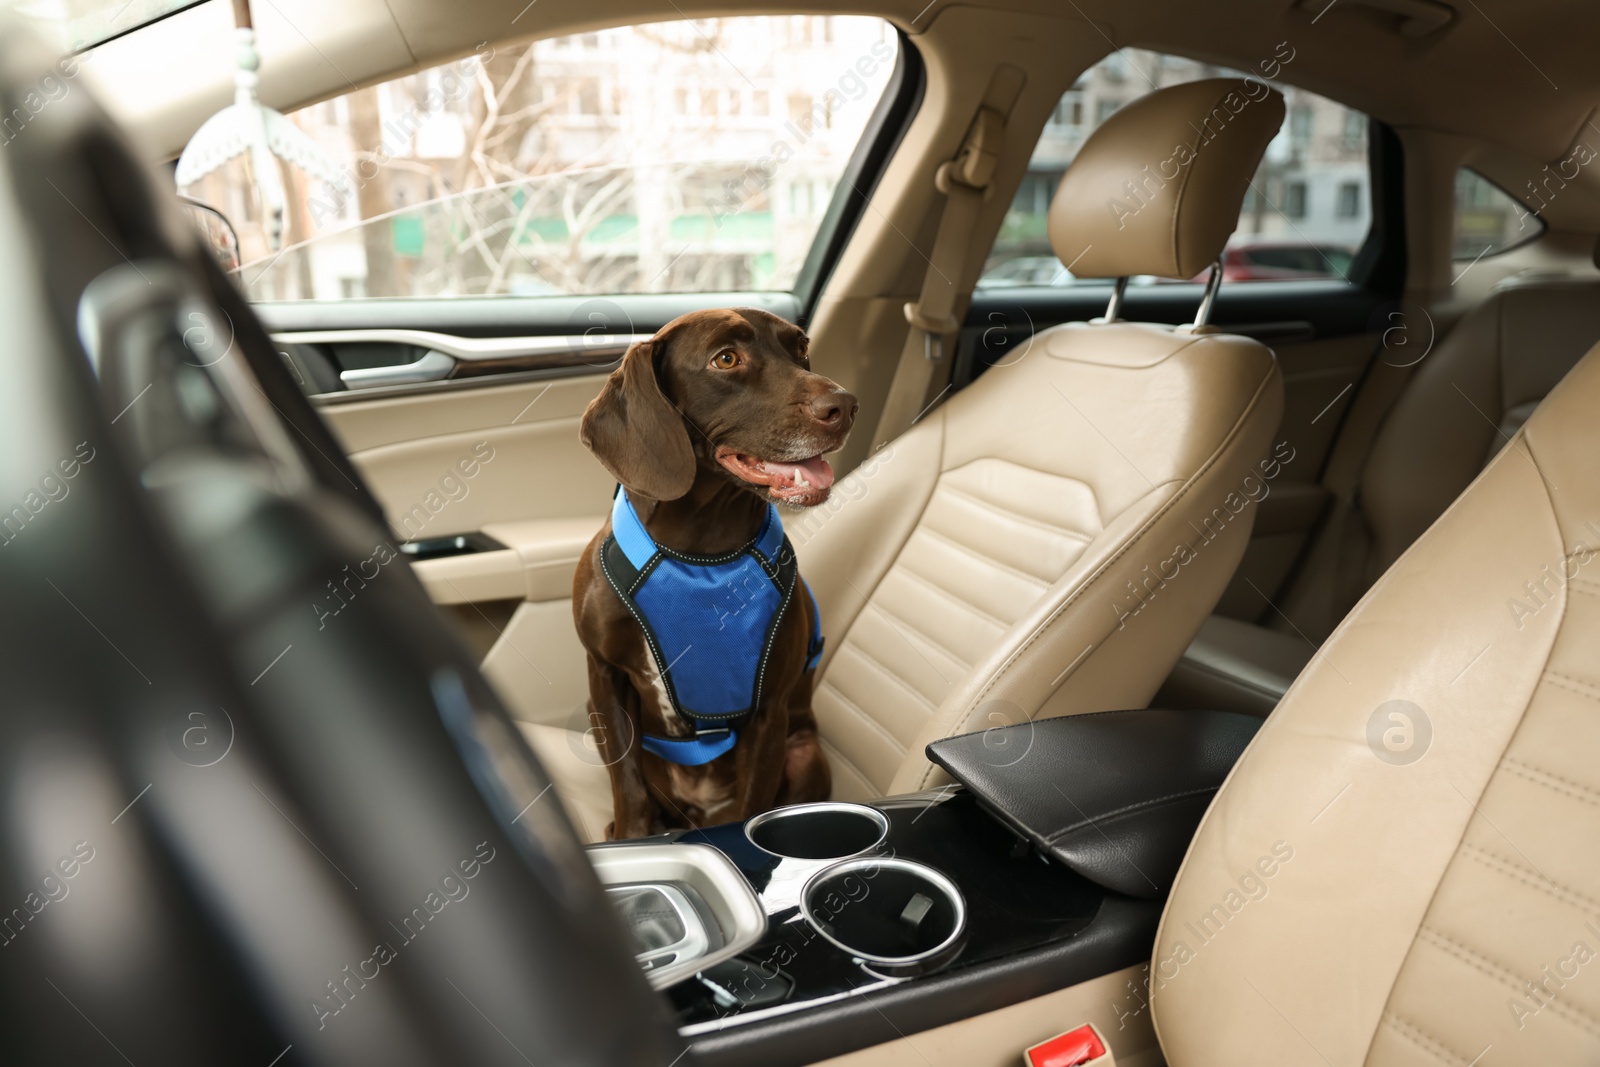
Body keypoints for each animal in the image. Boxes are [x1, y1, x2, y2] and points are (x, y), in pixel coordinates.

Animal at [572, 308, 857, 844]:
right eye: (725, 359)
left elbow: (752, 806)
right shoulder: (605, 677)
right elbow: (629, 790)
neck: (698, 552)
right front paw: (629, 835)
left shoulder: (769, 712)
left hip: (806, 753)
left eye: (801, 348)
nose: (846, 406)